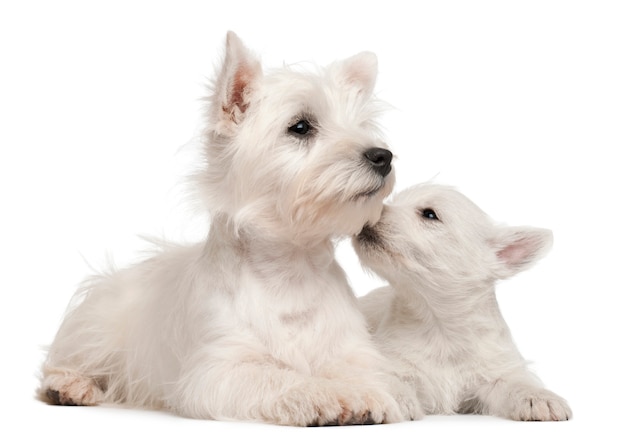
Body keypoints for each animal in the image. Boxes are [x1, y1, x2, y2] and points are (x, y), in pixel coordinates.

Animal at [36, 31, 420, 426]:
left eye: (362, 127)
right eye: (300, 127)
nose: (383, 156)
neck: (291, 270)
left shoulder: (353, 351)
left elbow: (376, 378)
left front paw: (371, 394)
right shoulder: (221, 370)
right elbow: (283, 378)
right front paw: (335, 396)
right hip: (97, 325)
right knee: (66, 362)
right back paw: (69, 387)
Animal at [352, 184, 572, 422]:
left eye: (429, 214)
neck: (439, 326)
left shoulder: (494, 372)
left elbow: (515, 382)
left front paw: (539, 398)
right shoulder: (390, 362)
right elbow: (388, 379)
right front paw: (394, 399)